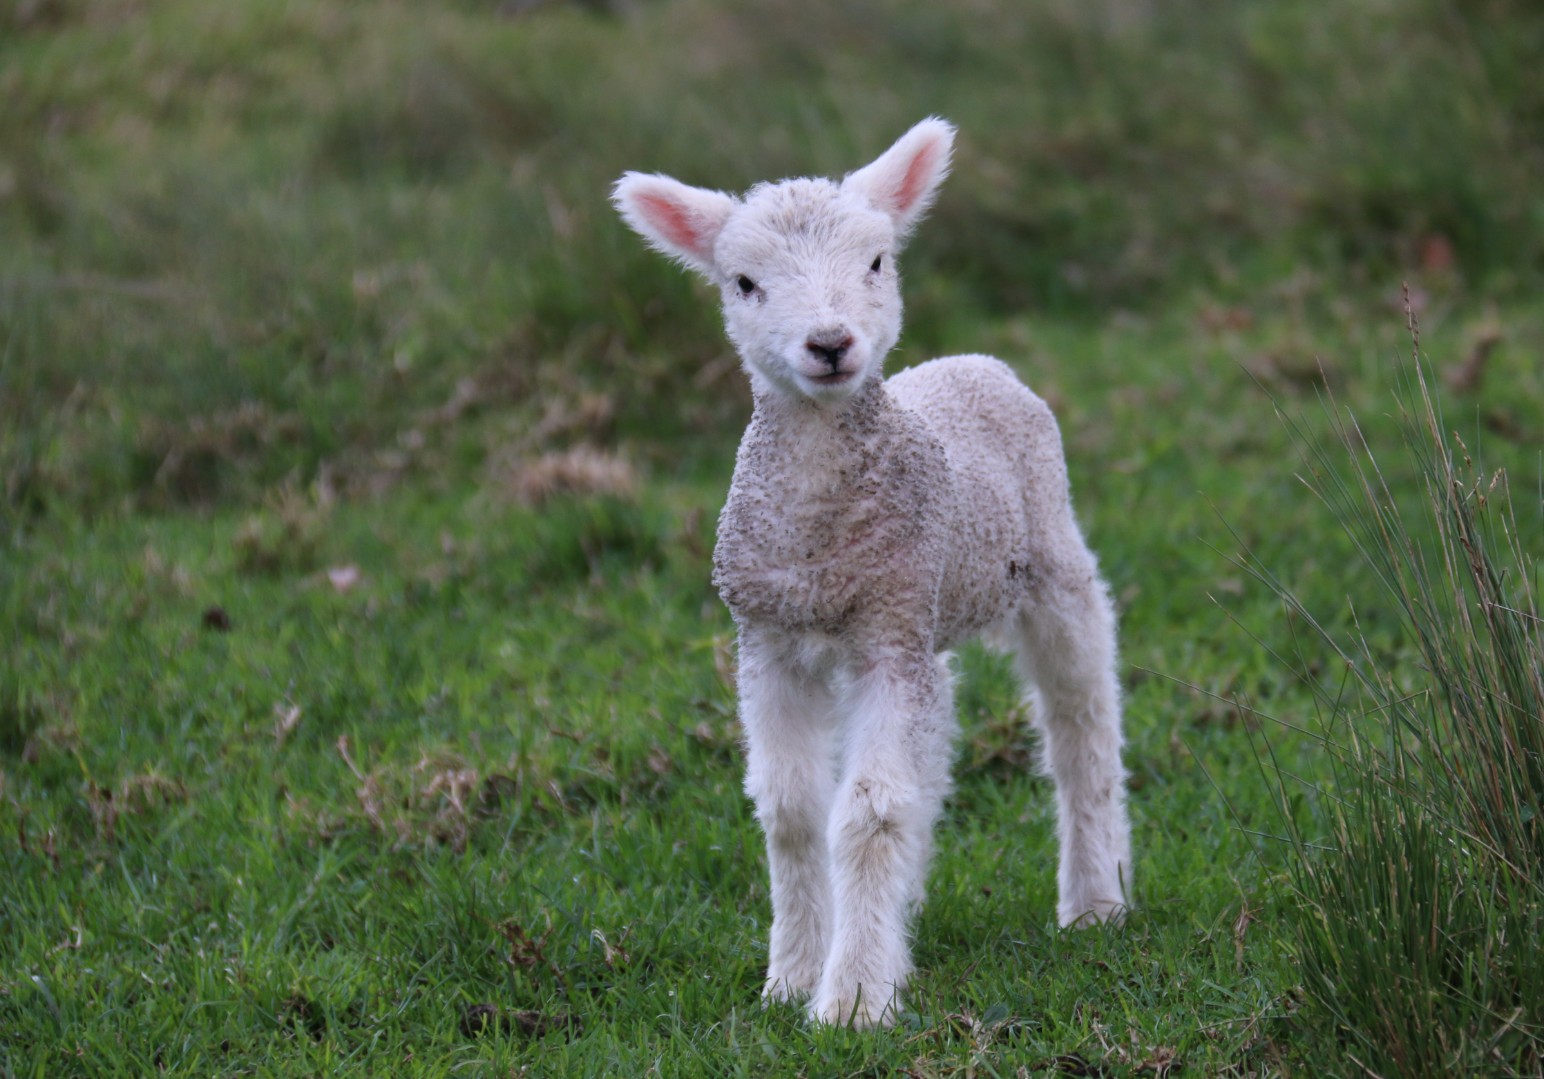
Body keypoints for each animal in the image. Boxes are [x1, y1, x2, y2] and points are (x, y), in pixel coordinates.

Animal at [614, 115, 1136, 1031]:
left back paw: (1095, 899)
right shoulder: (771, 641)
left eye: (877, 262)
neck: (820, 538)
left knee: (1082, 722)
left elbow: (867, 812)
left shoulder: (887, 633)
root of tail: (974, 361)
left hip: (1049, 561)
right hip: (930, 613)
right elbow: (792, 812)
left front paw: (853, 998)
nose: (830, 344)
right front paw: (791, 975)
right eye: (744, 282)